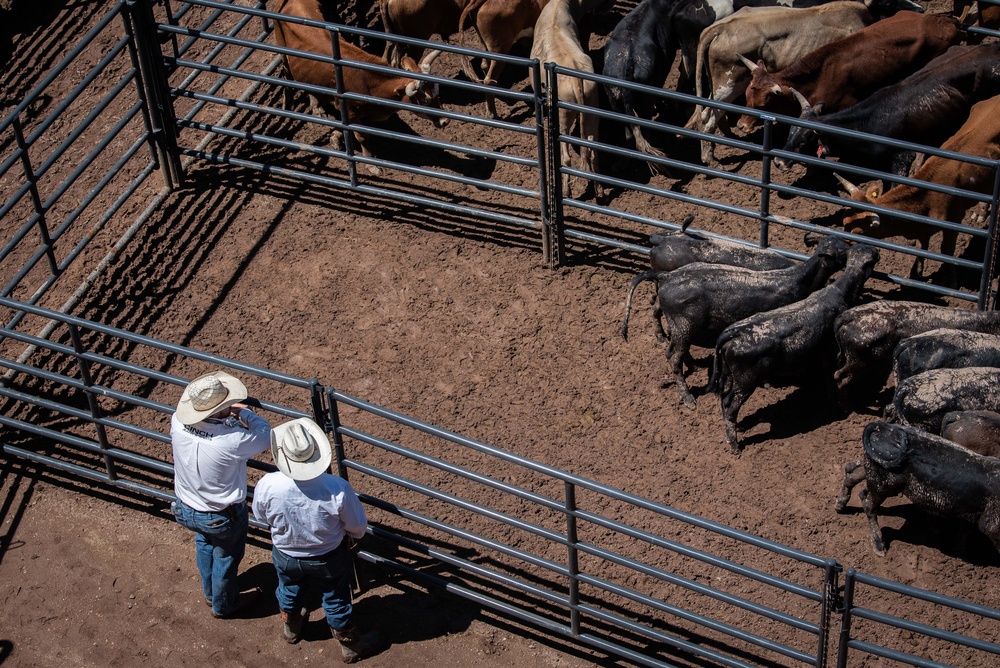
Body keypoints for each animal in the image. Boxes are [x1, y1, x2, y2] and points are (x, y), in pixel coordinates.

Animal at [272, 0, 448, 175]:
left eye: (437, 95)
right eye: (424, 101)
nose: (445, 121)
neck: (369, 83)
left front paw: (335, 137)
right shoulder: (350, 111)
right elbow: (362, 136)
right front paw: (371, 163)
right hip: (283, 53)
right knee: (288, 77)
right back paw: (289, 105)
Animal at [836, 422, 1000, 560]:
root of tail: (884, 427)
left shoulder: (972, 512)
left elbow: (964, 532)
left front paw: (960, 552)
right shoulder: (991, 526)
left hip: (874, 473)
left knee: (851, 472)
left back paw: (840, 503)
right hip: (882, 486)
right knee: (868, 504)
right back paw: (879, 544)